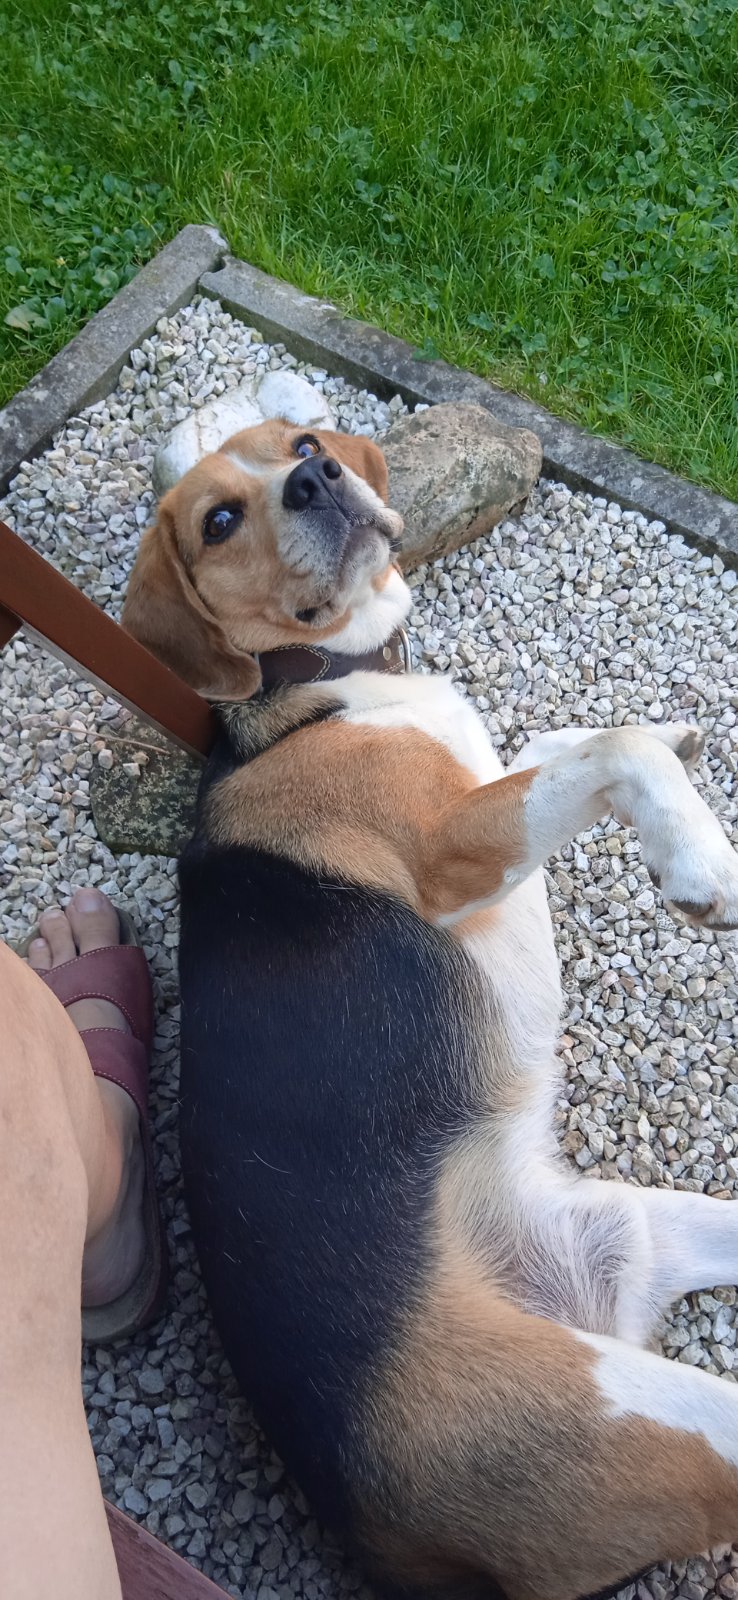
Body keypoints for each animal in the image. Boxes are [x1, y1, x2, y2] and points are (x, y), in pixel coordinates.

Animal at [123, 419, 738, 1600]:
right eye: (219, 519)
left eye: (299, 440)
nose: (318, 478)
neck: (340, 683)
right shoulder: (454, 851)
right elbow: (615, 749)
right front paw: (700, 859)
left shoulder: (486, 787)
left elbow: (574, 736)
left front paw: (679, 732)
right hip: (659, 1414)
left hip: (646, 1230)